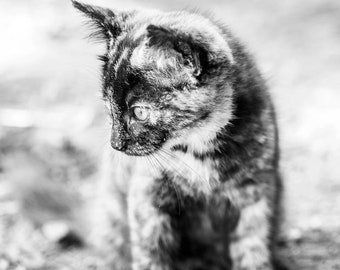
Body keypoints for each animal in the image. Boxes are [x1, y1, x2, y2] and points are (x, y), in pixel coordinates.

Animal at [73, 1, 282, 268]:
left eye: (140, 112)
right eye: (109, 105)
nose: (116, 144)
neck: (198, 149)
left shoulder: (256, 193)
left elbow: (252, 248)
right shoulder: (148, 195)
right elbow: (150, 252)